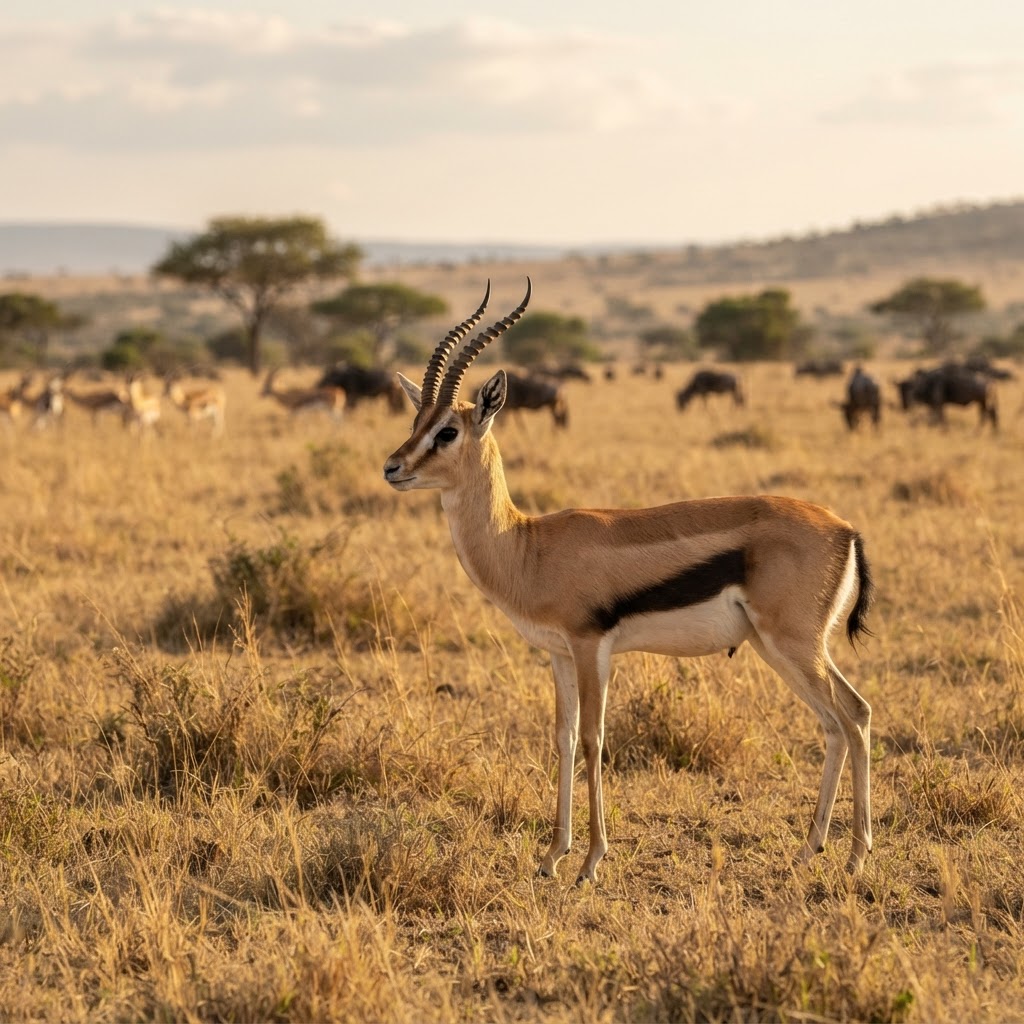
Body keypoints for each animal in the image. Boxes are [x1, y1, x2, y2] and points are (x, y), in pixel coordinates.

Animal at [383, 281, 875, 886]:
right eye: (415, 423)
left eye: (447, 431)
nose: (392, 467)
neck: (529, 546)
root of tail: (845, 529)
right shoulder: (559, 654)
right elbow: (564, 738)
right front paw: (552, 856)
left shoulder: (591, 646)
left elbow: (594, 740)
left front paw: (590, 862)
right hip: (777, 647)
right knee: (838, 722)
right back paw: (811, 850)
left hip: (795, 644)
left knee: (853, 717)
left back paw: (855, 856)